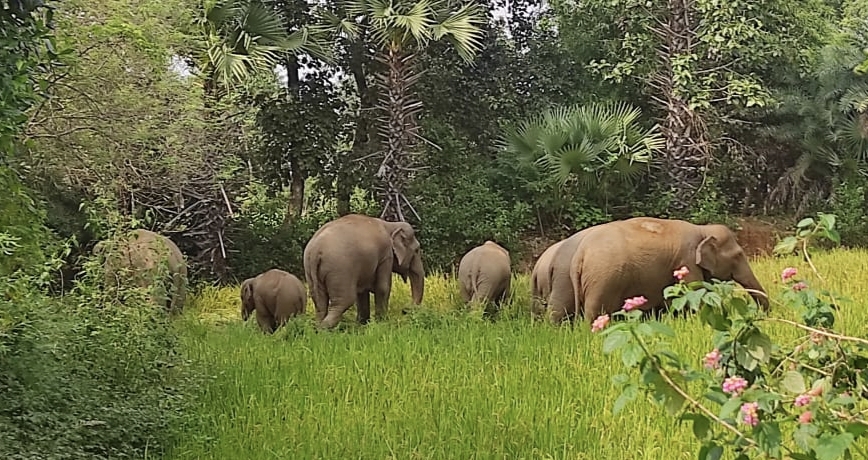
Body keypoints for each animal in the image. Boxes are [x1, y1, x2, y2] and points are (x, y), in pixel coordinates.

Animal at [569, 217, 770, 323]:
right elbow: (696, 294)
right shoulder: (687, 262)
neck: (703, 230)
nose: (762, 315)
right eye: (738, 256)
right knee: (596, 312)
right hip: (603, 280)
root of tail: (580, 254)